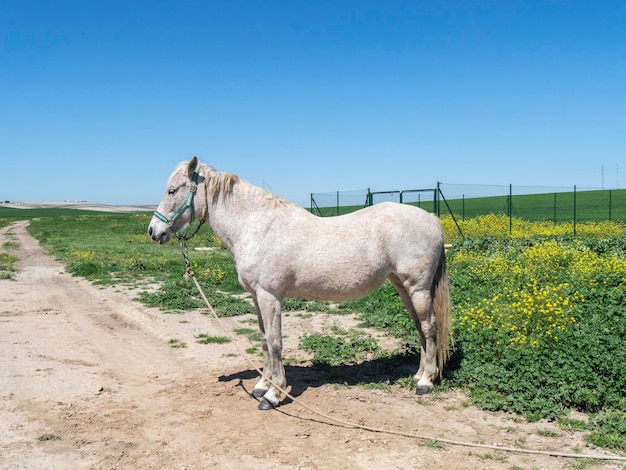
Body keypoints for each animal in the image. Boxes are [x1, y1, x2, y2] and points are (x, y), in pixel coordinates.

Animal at [147, 156, 448, 410]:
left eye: (172, 191)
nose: (153, 231)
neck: (257, 228)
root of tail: (432, 219)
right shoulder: (257, 297)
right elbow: (264, 339)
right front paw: (261, 385)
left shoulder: (270, 297)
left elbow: (276, 342)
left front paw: (273, 394)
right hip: (403, 287)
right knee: (420, 329)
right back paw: (418, 376)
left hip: (418, 288)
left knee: (429, 328)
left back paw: (425, 383)